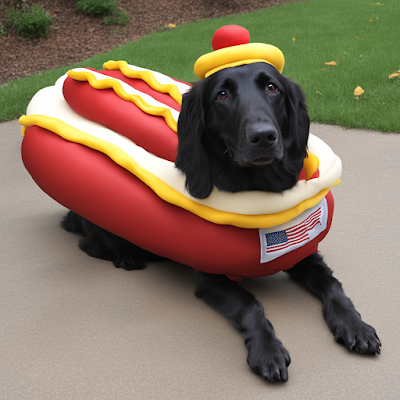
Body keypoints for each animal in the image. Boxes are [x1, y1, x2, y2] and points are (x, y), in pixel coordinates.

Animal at [62, 64, 382, 382]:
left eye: (272, 88)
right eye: (222, 95)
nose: (263, 137)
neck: (257, 188)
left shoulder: (306, 255)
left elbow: (334, 286)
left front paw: (355, 325)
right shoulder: (210, 278)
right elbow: (251, 305)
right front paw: (267, 350)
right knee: (91, 243)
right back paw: (126, 256)